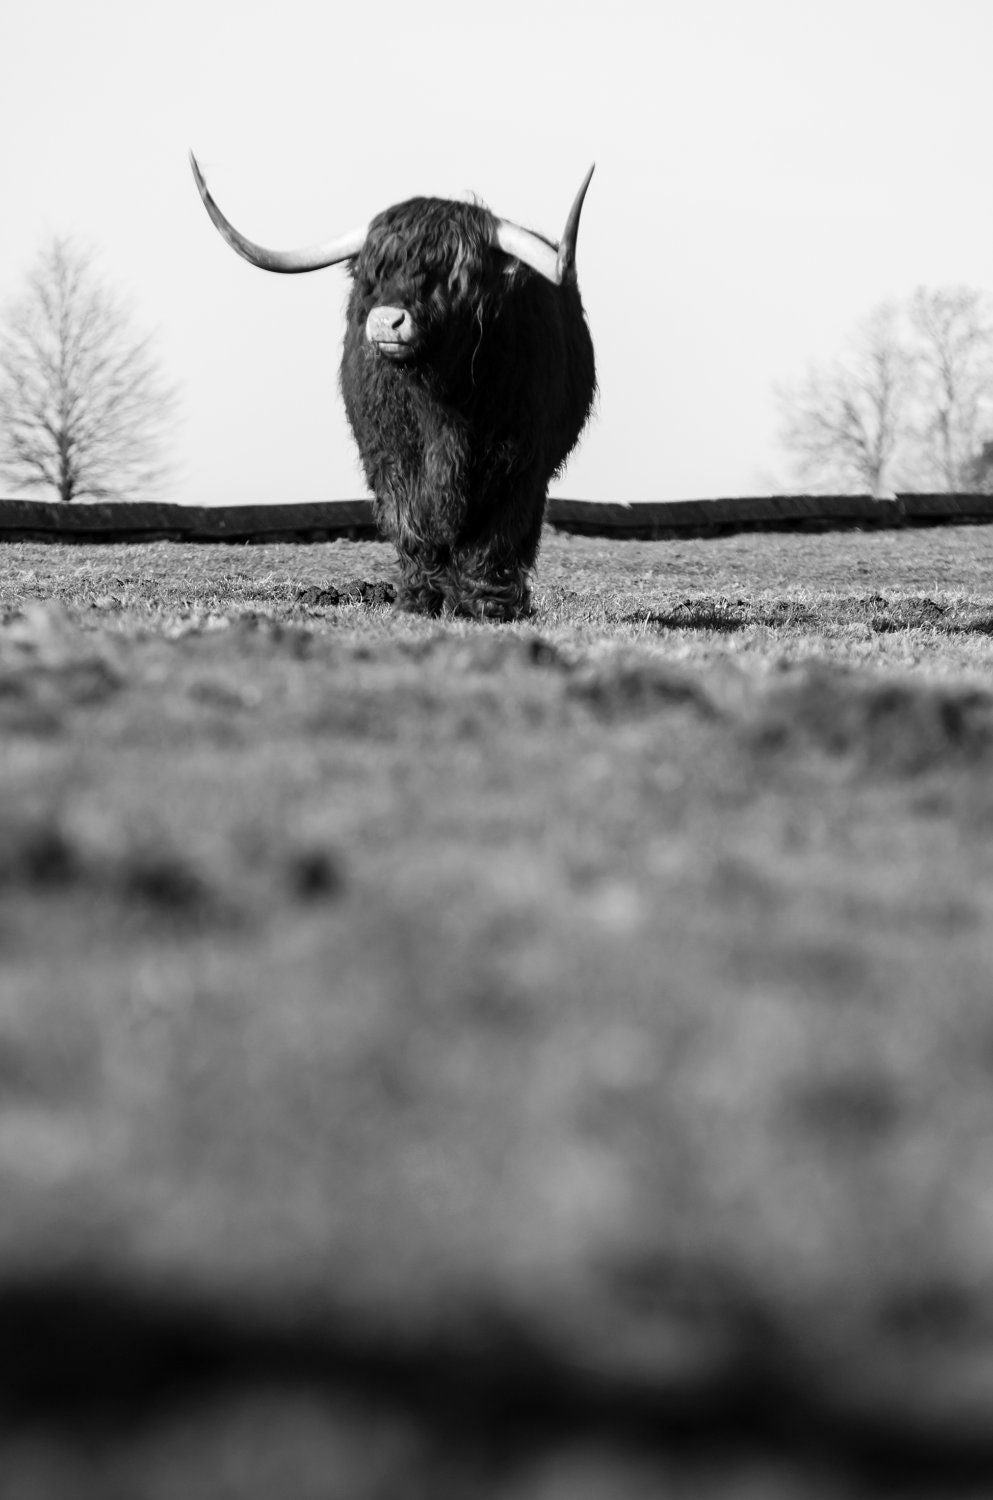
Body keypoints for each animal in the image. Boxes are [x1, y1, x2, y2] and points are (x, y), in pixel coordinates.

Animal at [190, 154, 596, 619]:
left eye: (450, 274)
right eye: (375, 273)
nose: (387, 320)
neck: (444, 405)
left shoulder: (520, 464)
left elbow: (496, 535)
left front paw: (488, 604)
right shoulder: (390, 458)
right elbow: (412, 526)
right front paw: (418, 599)